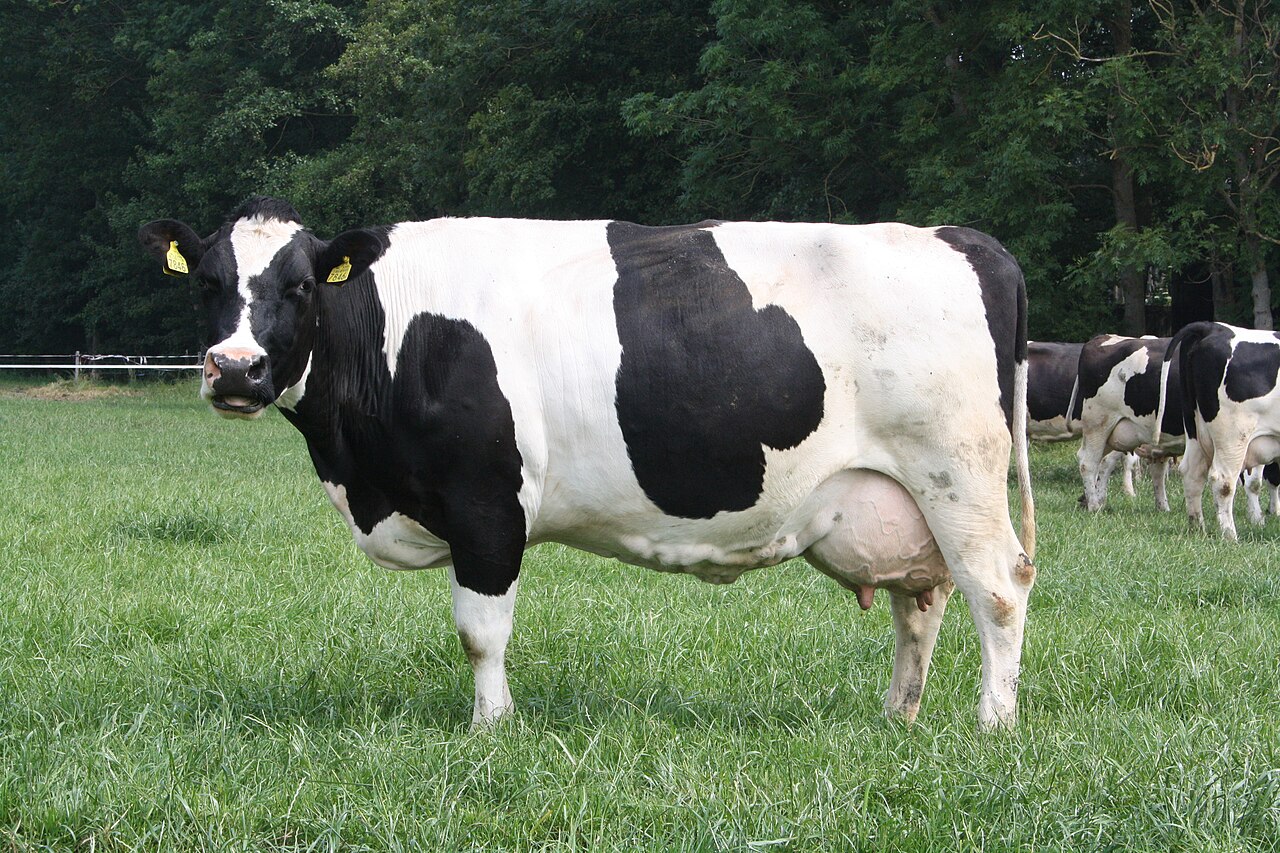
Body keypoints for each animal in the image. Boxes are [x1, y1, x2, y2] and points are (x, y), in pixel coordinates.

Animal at [139, 197, 1036, 730]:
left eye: (298, 287)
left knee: (997, 587)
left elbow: (480, 630)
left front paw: (491, 727)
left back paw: (992, 724)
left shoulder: (486, 502)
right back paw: (897, 715)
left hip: (958, 473)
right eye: (208, 281)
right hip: (902, 495)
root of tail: (959, 236)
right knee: (921, 603)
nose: (236, 367)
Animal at [1157, 322, 1280, 540]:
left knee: (1192, 473)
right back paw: (1230, 535)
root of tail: (1213, 327)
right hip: (1233, 435)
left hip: (1194, 429)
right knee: (1223, 480)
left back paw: (1197, 527)